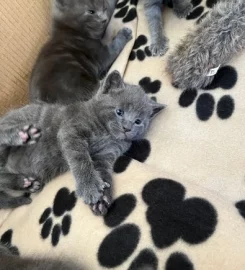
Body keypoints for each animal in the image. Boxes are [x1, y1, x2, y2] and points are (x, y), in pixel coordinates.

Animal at [0, 71, 166, 215]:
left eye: (138, 121)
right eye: (119, 112)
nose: (127, 128)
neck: (106, 133)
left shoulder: (104, 155)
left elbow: (102, 172)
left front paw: (102, 199)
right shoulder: (71, 131)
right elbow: (80, 159)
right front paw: (89, 188)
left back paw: (25, 182)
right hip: (17, 120)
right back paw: (23, 135)